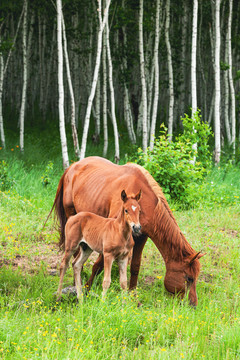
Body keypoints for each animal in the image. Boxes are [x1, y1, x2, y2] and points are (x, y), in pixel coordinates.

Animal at [51, 156, 205, 306]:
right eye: (189, 278)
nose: (193, 304)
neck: (145, 203)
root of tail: (72, 167)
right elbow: (98, 265)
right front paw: (88, 288)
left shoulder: (142, 236)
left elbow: (135, 266)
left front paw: (133, 295)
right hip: (72, 217)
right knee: (74, 256)